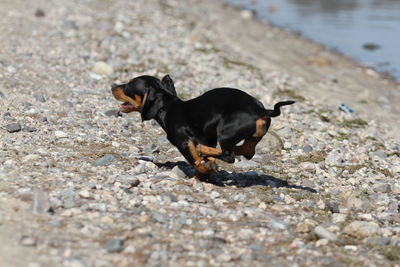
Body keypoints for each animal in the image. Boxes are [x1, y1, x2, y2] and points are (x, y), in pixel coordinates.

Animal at [111, 75, 294, 179]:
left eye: (128, 86)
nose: (112, 86)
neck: (168, 107)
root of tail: (260, 110)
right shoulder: (209, 138)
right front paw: (204, 174)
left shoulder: (182, 142)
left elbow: (195, 160)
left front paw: (203, 170)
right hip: (249, 137)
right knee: (247, 152)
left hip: (225, 132)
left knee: (228, 155)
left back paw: (205, 151)